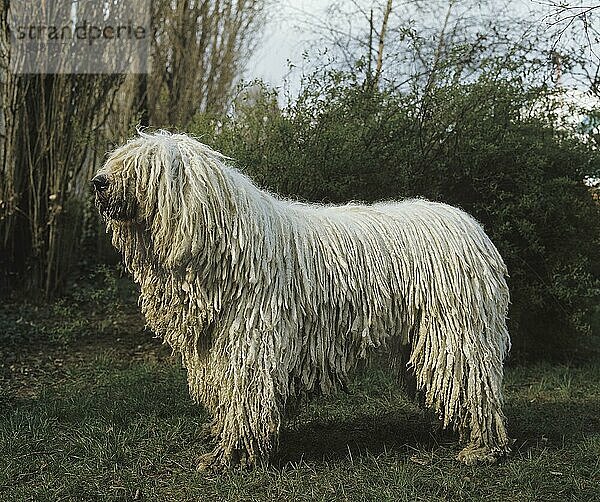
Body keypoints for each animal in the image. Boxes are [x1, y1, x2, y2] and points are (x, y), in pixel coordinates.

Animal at [92, 129, 510, 470]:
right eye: (118, 160)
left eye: (143, 167)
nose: (98, 181)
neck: (226, 244)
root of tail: (472, 227)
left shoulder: (251, 343)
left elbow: (245, 397)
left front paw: (232, 456)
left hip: (456, 331)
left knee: (476, 386)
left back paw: (480, 447)